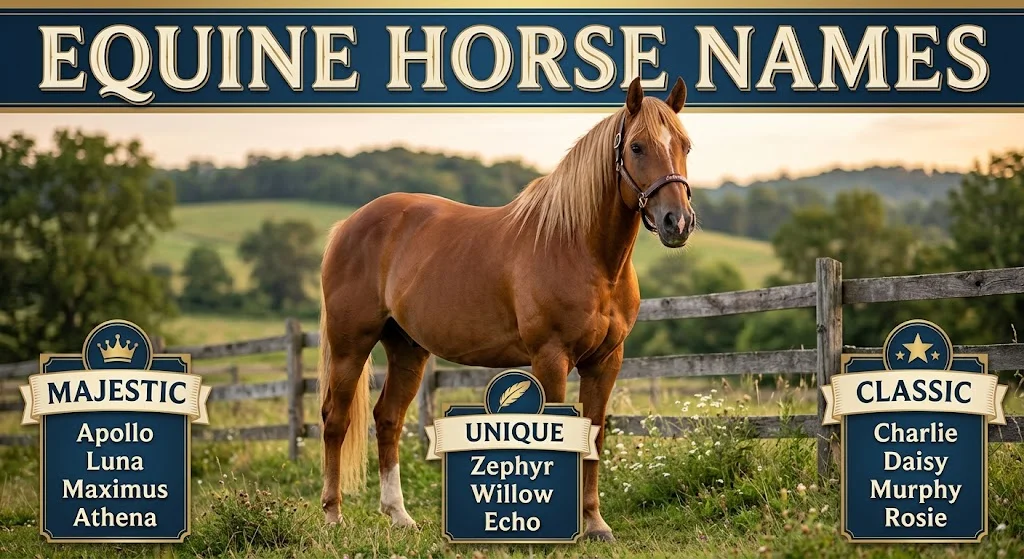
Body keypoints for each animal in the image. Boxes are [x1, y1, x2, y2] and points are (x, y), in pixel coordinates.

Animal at [317, 76, 697, 541]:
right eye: (638, 147)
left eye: (685, 145)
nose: (677, 221)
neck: (578, 248)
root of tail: (348, 225)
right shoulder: (551, 358)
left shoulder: (606, 361)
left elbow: (593, 436)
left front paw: (594, 523)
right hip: (351, 345)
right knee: (335, 420)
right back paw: (333, 515)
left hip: (406, 348)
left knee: (387, 419)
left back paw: (399, 515)